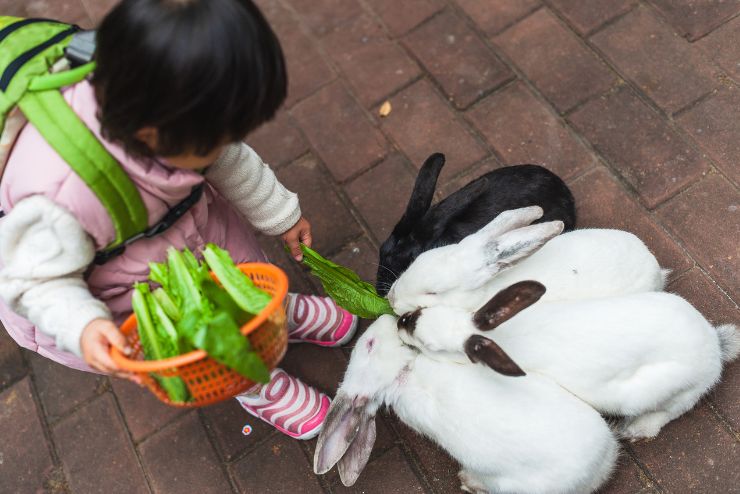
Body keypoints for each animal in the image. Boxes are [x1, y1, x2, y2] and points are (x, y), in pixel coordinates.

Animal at [398, 282, 740, 440]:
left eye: (429, 346)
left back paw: (637, 429)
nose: (401, 322)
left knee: (672, 411)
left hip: (655, 392)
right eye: (425, 311)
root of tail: (714, 350)